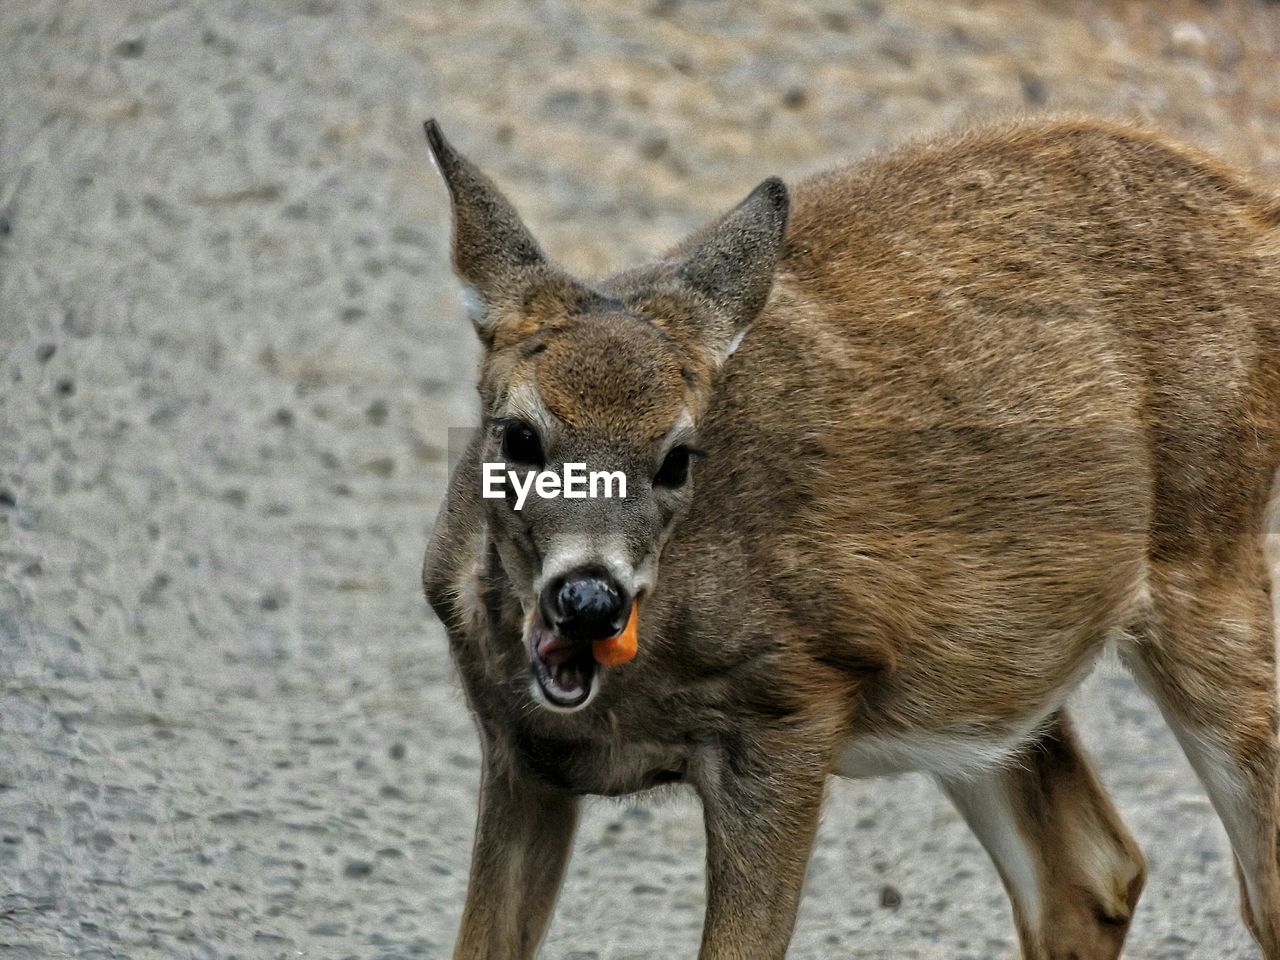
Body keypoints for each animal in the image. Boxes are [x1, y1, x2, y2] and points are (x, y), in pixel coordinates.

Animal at [419, 114, 1280, 960]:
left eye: (677, 457)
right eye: (518, 434)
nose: (589, 600)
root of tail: (1255, 211)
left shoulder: (792, 711)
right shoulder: (518, 751)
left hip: (1206, 557)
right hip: (986, 676)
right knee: (1092, 868)